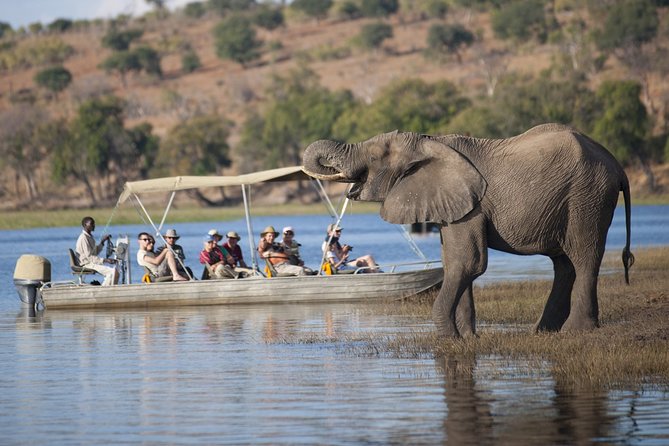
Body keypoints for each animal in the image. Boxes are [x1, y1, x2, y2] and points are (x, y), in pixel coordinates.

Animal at [302, 122, 632, 338]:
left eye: (374, 157)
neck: (429, 141)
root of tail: (617, 164)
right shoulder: (452, 203)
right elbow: (454, 264)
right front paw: (468, 339)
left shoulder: (473, 204)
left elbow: (468, 263)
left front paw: (448, 338)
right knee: (563, 263)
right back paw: (543, 332)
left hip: (587, 196)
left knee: (583, 255)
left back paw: (576, 331)